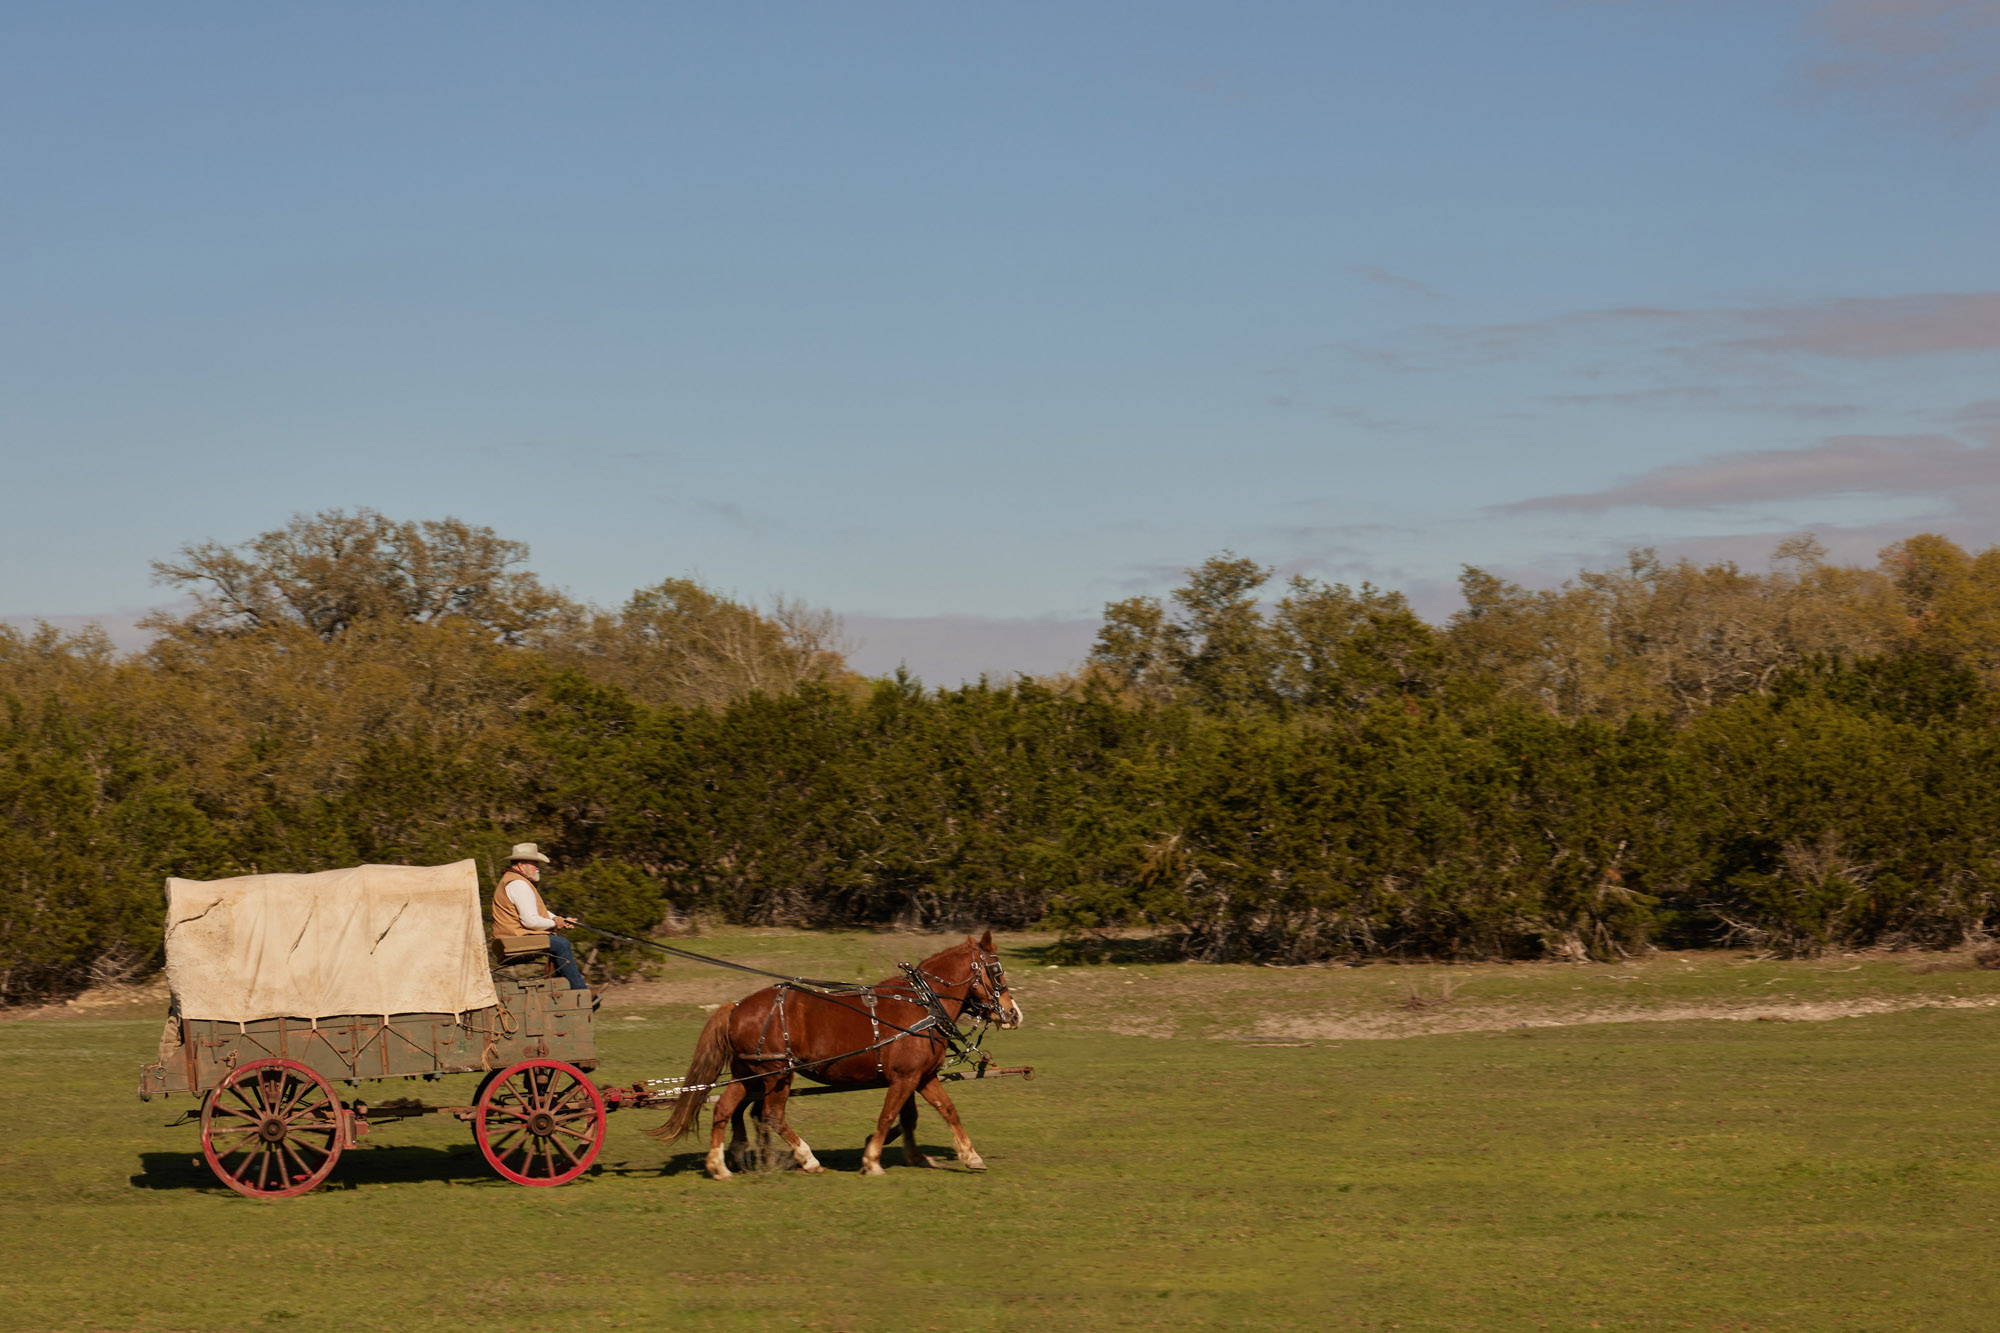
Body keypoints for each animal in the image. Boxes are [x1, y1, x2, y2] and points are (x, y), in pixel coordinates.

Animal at [648, 932, 1024, 1176]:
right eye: (997, 970)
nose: (1013, 1013)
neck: (922, 1005)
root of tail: (737, 1007)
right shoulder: (904, 1078)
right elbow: (889, 1116)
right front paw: (871, 1159)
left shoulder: (921, 1076)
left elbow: (940, 1113)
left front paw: (963, 1157)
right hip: (777, 1073)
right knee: (770, 1114)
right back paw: (807, 1159)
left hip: (749, 1072)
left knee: (726, 1109)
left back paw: (720, 1165)